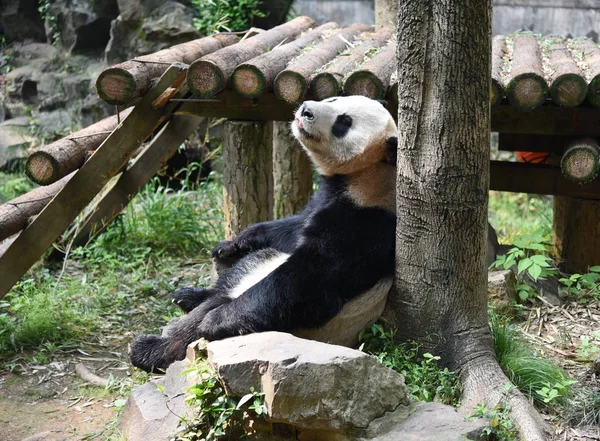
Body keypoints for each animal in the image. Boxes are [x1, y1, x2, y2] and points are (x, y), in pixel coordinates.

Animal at [130, 95, 398, 372]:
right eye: (334, 98)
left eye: (344, 123)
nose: (306, 110)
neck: (366, 175)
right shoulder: (322, 201)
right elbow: (291, 228)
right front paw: (233, 244)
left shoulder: (363, 225)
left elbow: (306, 282)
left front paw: (214, 321)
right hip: (258, 266)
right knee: (243, 268)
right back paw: (190, 296)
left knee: (213, 318)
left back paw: (152, 347)